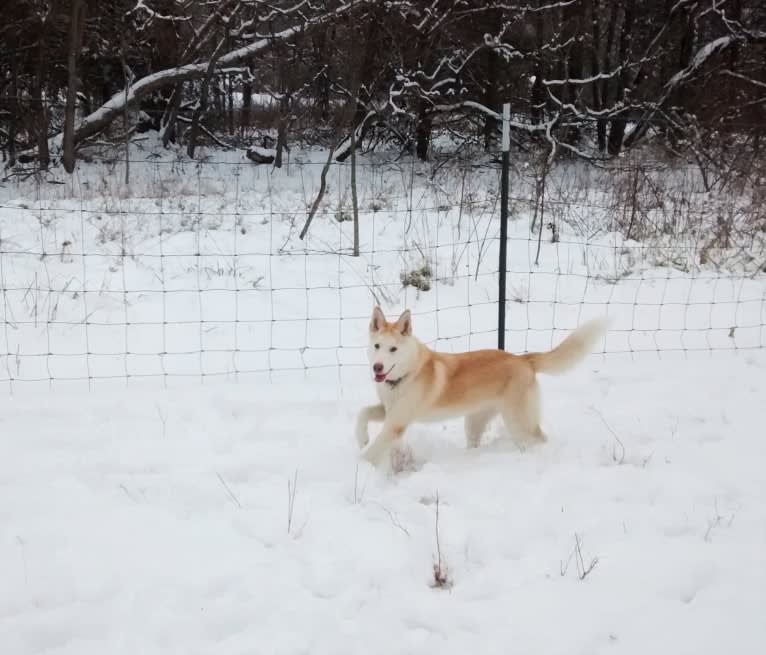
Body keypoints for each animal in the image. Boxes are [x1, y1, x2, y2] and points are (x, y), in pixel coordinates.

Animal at [356, 304, 608, 468]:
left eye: (393, 349)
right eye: (377, 346)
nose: (377, 367)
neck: (405, 375)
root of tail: (523, 360)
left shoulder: (396, 423)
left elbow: (372, 453)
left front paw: (361, 469)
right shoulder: (389, 411)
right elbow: (363, 412)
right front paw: (361, 438)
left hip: (519, 422)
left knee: (539, 438)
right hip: (475, 422)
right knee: (475, 443)